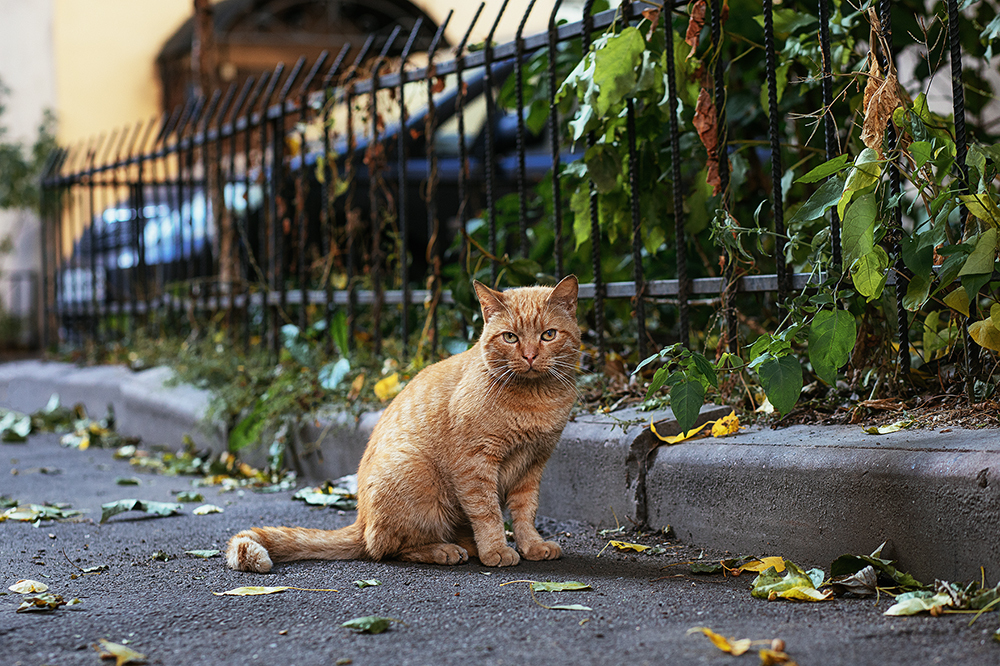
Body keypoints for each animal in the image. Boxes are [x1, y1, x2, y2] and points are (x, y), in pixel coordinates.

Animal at [228, 274, 584, 572]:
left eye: (548, 335)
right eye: (510, 337)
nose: (529, 356)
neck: (535, 401)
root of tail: (360, 520)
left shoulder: (533, 465)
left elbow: (525, 512)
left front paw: (532, 545)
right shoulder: (474, 465)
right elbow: (488, 513)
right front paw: (496, 549)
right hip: (416, 473)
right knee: (386, 547)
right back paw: (444, 550)